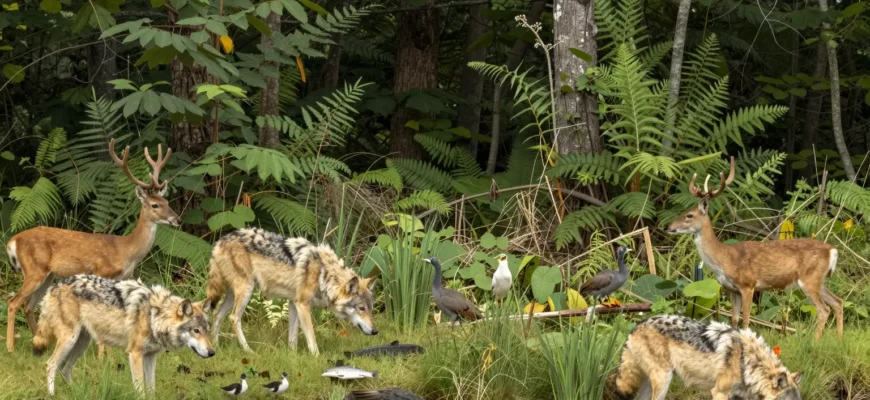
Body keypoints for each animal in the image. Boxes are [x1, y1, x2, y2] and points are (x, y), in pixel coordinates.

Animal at [5, 138, 181, 353]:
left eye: (167, 201)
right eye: (155, 205)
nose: (177, 219)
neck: (126, 251)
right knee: (13, 302)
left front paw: (110, 353)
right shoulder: (102, 272)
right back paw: (11, 347)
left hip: (46, 275)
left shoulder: (124, 278)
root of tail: (13, 241)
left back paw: (40, 343)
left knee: (28, 306)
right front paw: (103, 354)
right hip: (33, 270)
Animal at [32, 275, 214, 395]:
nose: (212, 352)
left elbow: (151, 388)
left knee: (64, 369)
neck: (154, 316)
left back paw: (76, 391)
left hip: (81, 344)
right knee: (51, 364)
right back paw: (52, 395)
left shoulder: (150, 356)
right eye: (195, 330)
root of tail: (55, 286)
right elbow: (140, 389)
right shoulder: (134, 354)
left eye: (206, 330)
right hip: (70, 340)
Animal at [205, 228, 378, 355]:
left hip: (232, 295)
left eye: (371, 309)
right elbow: (311, 337)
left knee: (217, 315)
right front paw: (316, 358)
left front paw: (292, 356)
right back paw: (248, 351)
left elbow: (293, 337)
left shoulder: (294, 304)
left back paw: (216, 347)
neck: (323, 274)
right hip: (245, 292)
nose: (376, 331)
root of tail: (220, 241)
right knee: (234, 318)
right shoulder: (303, 305)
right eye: (361, 308)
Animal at [667, 156, 843, 339]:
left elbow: (745, 320)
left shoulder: (748, 285)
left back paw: (816, 340)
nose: (667, 226)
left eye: (689, 215)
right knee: (838, 301)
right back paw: (838, 338)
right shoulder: (732, 289)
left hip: (809, 279)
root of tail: (832, 250)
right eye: (684, 212)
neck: (723, 258)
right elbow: (734, 320)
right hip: (819, 279)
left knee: (824, 309)